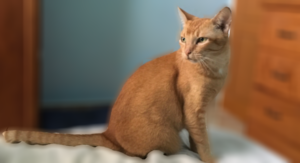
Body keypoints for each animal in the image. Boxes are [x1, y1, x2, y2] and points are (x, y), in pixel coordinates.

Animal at [2, 6, 231, 163]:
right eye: (183, 39)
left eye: (201, 40)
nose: (187, 52)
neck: (216, 68)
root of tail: (108, 133)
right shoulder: (193, 111)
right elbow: (202, 140)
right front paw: (208, 159)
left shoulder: (198, 114)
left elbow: (196, 140)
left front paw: (195, 152)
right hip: (168, 137)